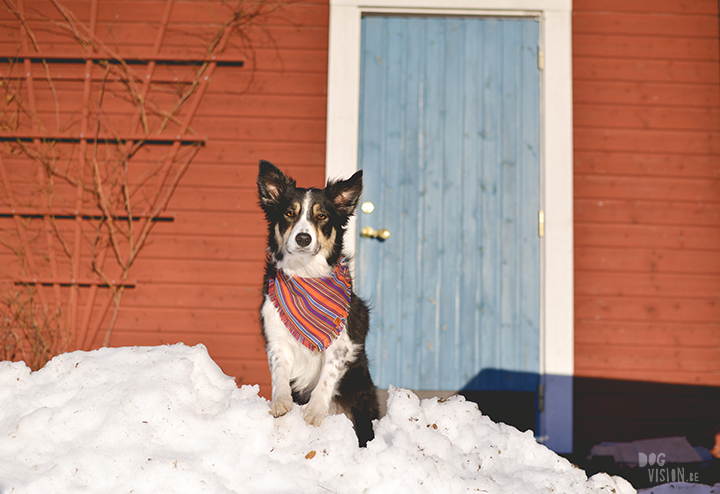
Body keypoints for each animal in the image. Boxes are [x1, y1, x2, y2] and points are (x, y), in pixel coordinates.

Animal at [258, 160, 382, 446]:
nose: (303, 238)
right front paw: (280, 402)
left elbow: (326, 377)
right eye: (289, 213)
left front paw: (314, 412)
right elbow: (279, 372)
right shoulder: (276, 338)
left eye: (322, 216)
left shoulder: (343, 344)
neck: (306, 273)